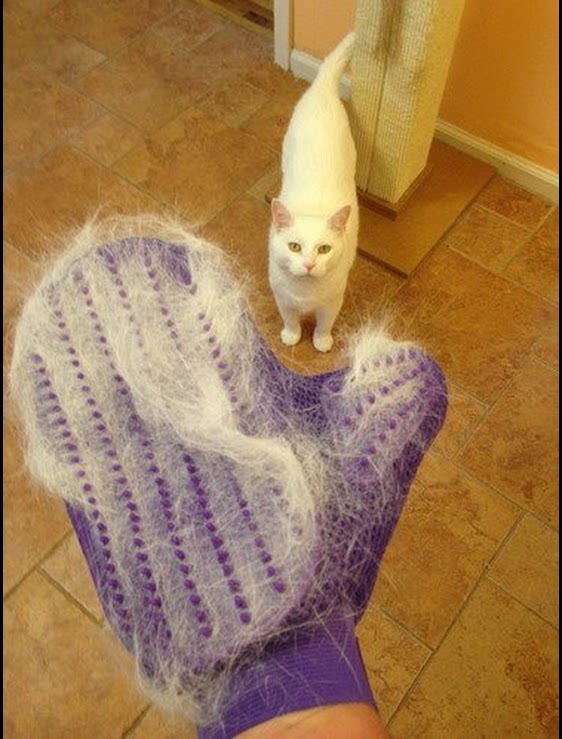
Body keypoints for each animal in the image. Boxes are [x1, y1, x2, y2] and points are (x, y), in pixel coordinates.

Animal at [268, 32, 358, 353]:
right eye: (294, 246)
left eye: (324, 249)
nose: (309, 264)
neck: (305, 293)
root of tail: (322, 87)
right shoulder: (282, 298)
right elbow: (291, 320)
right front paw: (291, 336)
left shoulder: (333, 302)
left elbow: (323, 323)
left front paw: (321, 342)